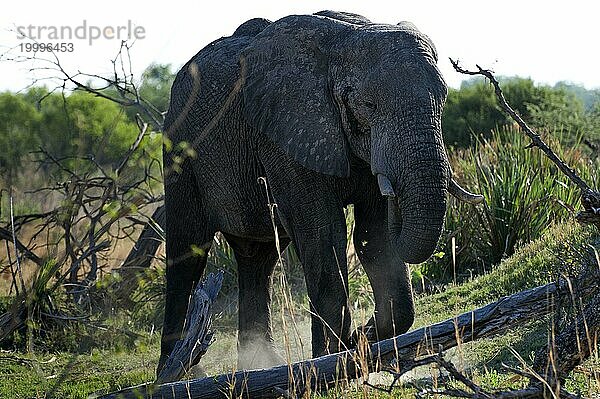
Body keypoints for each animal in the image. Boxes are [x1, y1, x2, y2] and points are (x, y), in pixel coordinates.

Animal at [157, 10, 480, 376]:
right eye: (367, 105)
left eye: (443, 100)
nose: (358, 333)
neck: (344, 42)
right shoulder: (287, 133)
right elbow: (324, 237)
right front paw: (332, 362)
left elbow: (374, 238)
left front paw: (358, 343)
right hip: (179, 146)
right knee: (187, 251)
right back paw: (178, 373)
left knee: (258, 258)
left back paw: (260, 367)